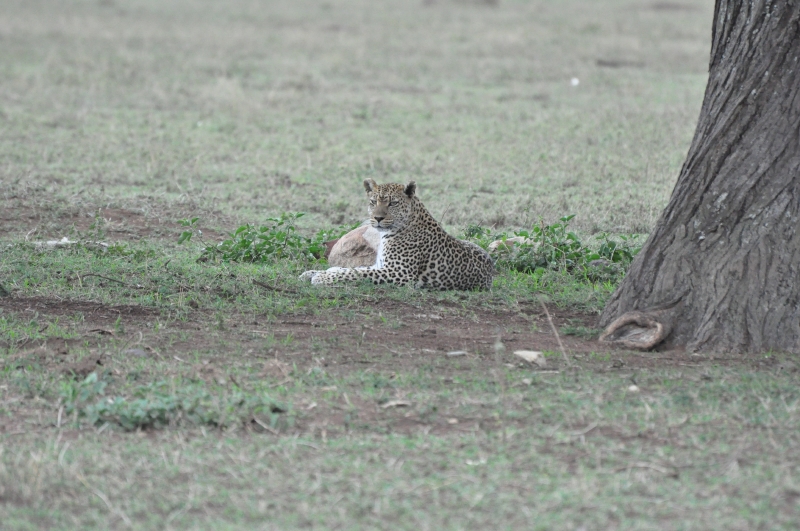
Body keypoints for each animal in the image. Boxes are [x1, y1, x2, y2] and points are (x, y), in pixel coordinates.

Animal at [299, 179, 495, 290]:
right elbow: (353, 269)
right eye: (373, 202)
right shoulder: (381, 265)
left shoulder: (398, 272)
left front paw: (322, 277)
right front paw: (312, 272)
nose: (377, 218)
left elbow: (356, 273)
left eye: (392, 203)